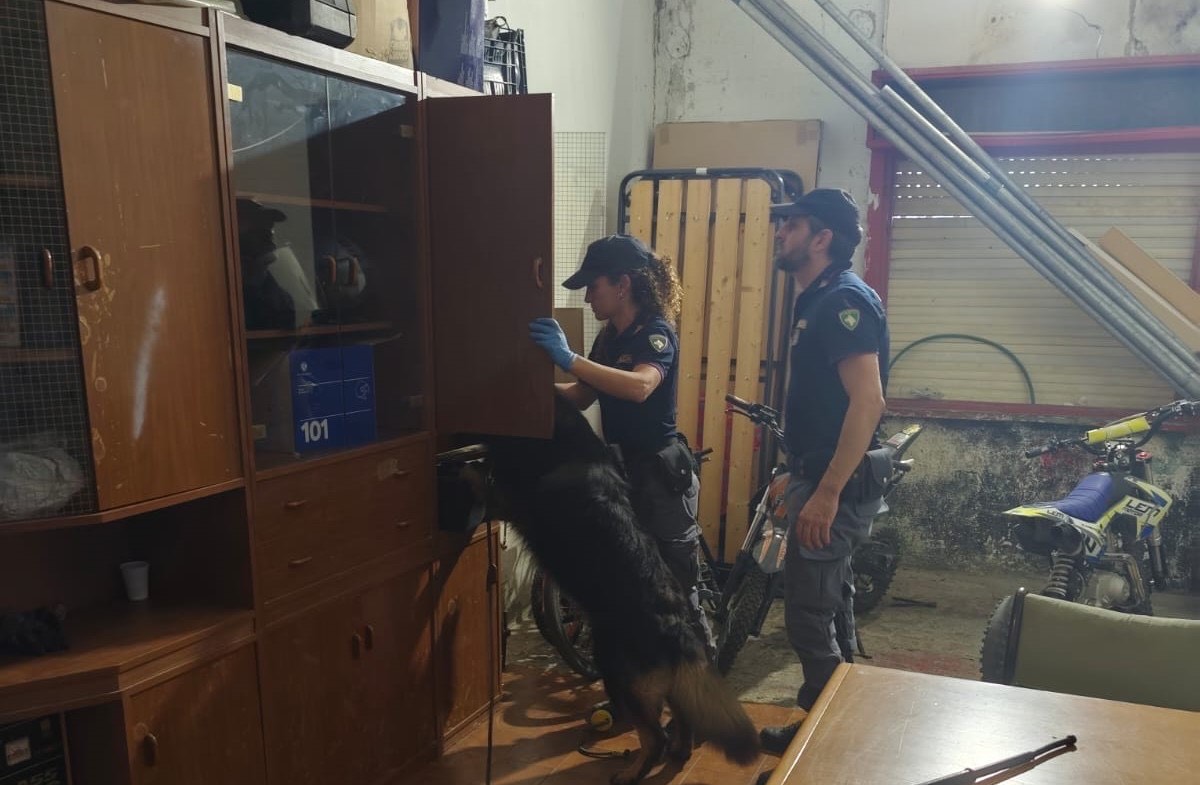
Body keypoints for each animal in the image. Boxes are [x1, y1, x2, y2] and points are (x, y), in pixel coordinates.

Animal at [483, 394, 758, 784]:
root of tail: (676, 631)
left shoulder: (510, 498)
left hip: (618, 672)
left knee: (654, 737)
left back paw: (633, 771)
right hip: (665, 686)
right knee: (682, 721)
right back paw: (679, 753)